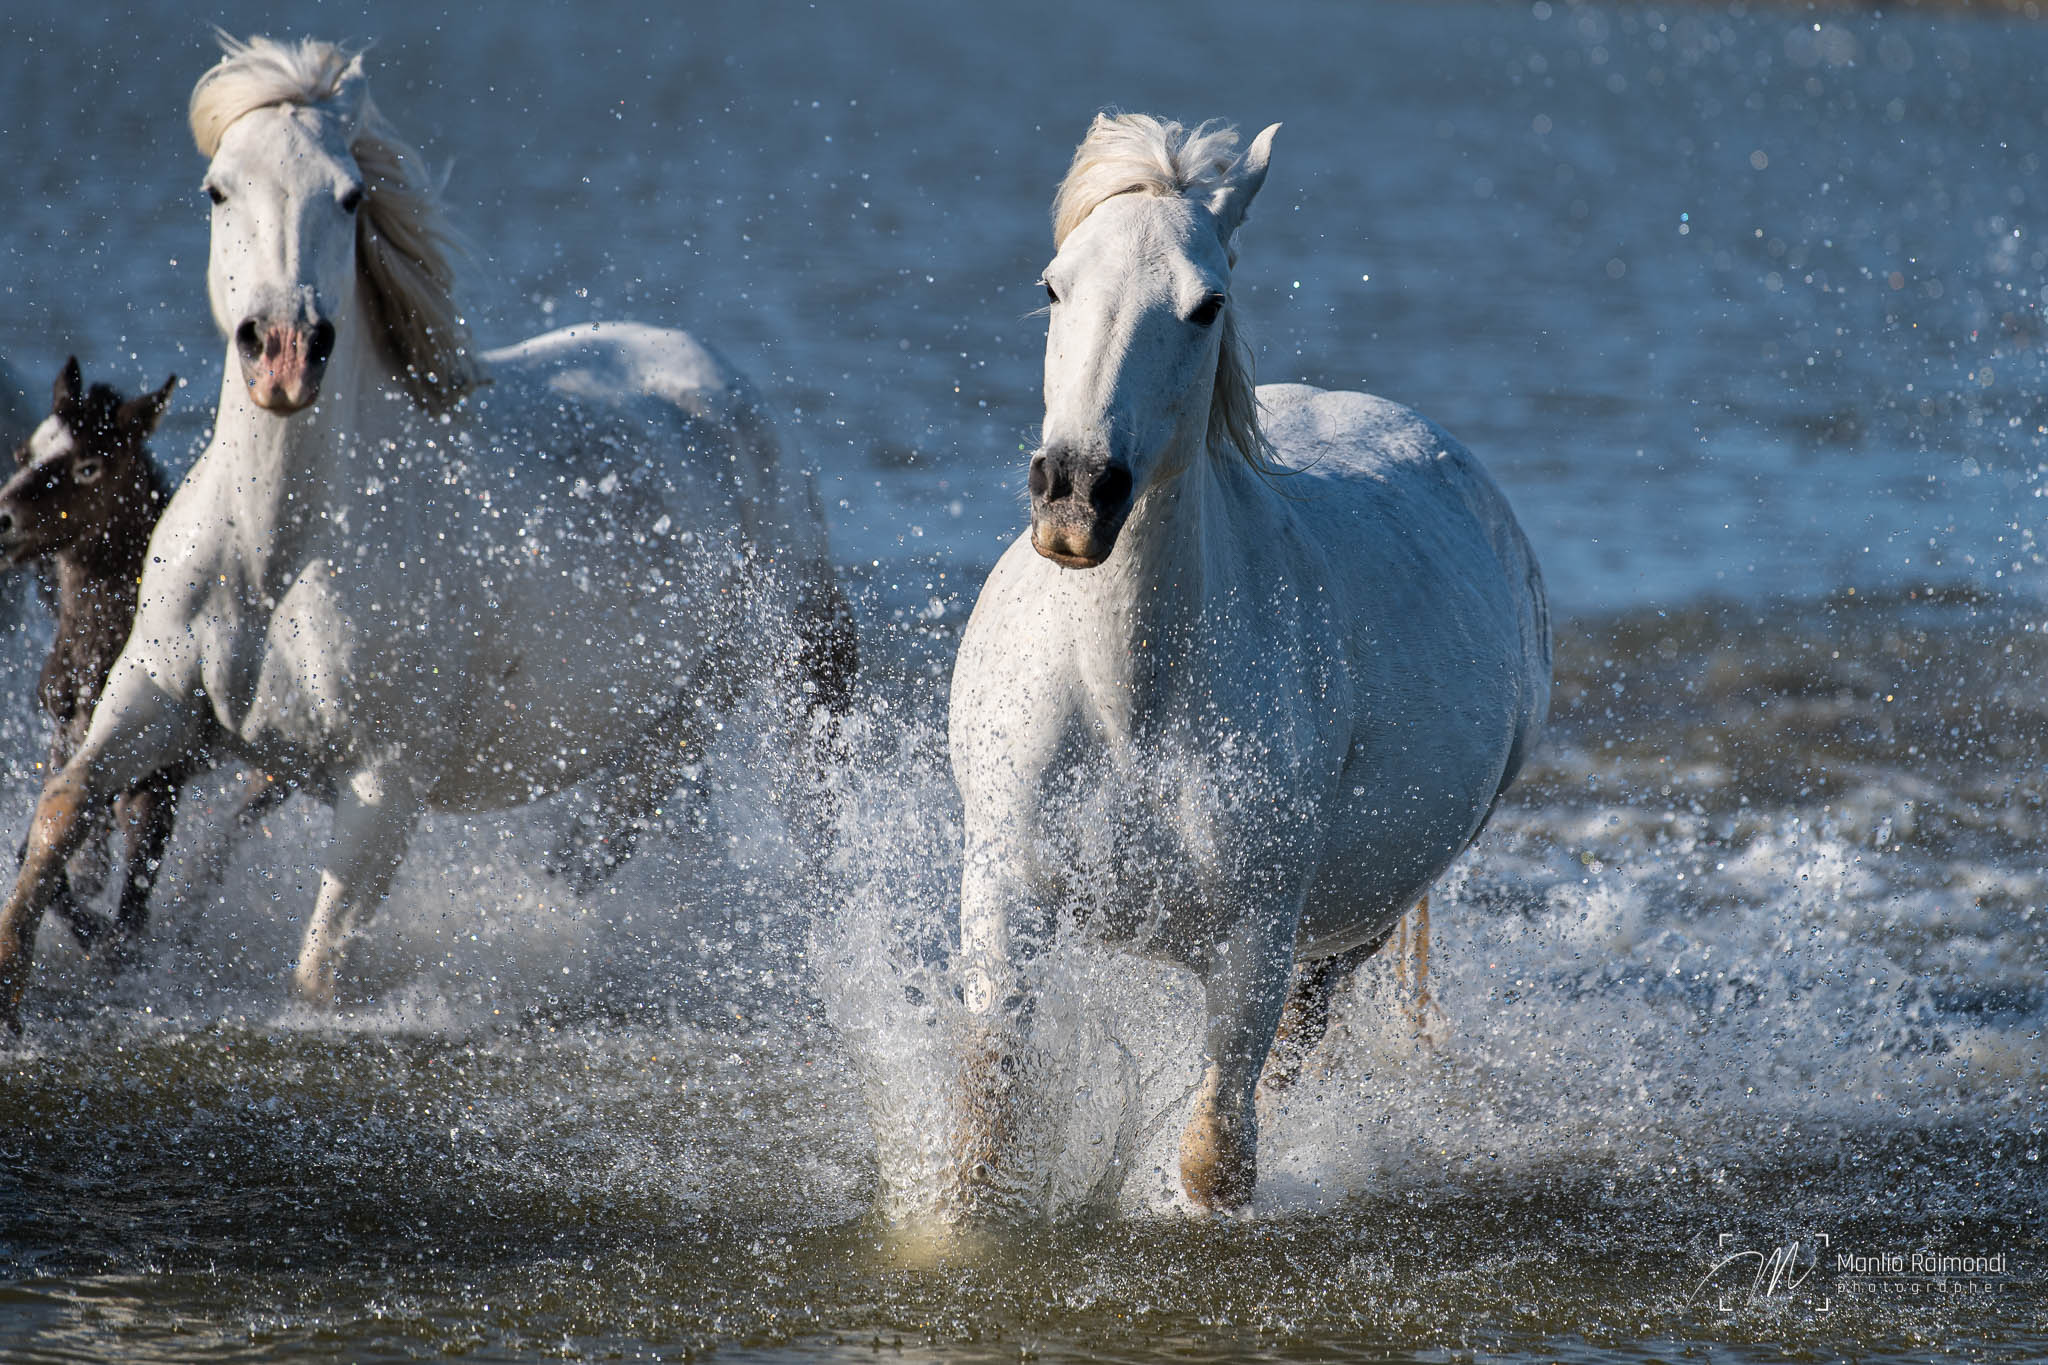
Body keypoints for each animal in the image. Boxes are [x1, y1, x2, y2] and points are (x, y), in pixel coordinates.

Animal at [0, 35, 855, 1028]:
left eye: (347, 195)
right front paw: (12, 987)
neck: (278, 555)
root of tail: (722, 385)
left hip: (705, 718)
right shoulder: (153, 704)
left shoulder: (384, 781)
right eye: (217, 190)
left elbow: (318, 969)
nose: (283, 352)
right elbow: (61, 809)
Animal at [947, 114, 1550, 1213]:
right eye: (1053, 286)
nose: (1075, 497)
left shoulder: (1256, 943)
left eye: (1205, 303)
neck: (1127, 705)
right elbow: (986, 1128)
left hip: (1349, 931)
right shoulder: (1006, 896)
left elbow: (1215, 1154)